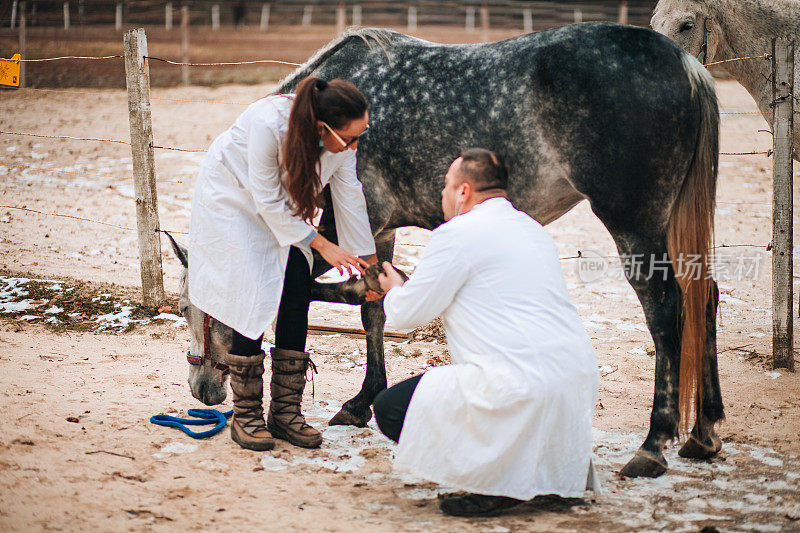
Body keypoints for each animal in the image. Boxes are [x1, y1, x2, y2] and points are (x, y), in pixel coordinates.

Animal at [181, 21, 724, 478]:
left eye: (191, 307)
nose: (202, 390)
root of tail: (685, 63)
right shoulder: (376, 232)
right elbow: (374, 310)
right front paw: (362, 402)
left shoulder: (357, 221)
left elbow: (332, 293)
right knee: (706, 299)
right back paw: (703, 434)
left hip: (634, 226)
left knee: (666, 310)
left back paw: (653, 446)